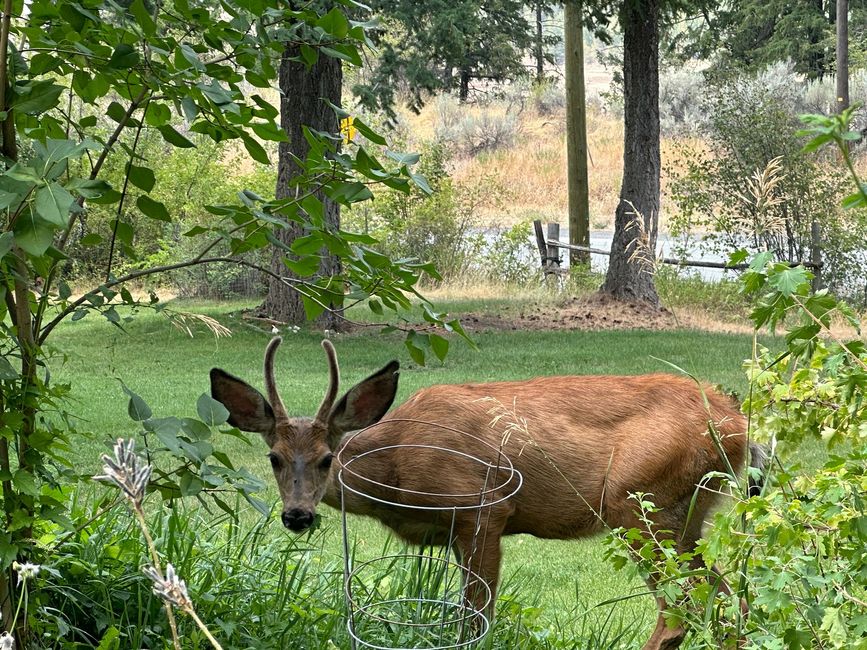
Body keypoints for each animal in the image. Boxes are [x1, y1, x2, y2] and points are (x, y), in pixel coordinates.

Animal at [212, 336, 768, 644]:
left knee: (683, 611)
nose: (297, 516)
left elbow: (476, 618)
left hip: (639, 503)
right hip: (689, 514)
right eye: (274, 458)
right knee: (728, 606)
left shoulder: (482, 508)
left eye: (327, 458)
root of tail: (739, 424)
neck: (395, 468)